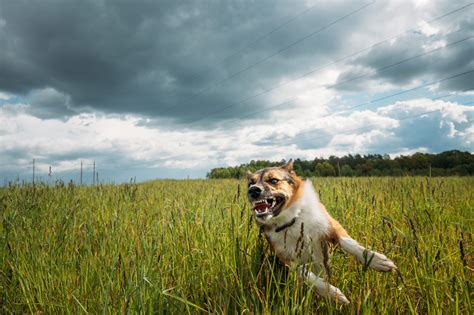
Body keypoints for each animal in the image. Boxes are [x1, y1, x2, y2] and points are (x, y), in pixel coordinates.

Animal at [246, 160, 398, 304]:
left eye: (273, 180)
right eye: (250, 183)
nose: (253, 190)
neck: (291, 220)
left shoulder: (330, 226)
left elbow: (350, 244)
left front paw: (377, 260)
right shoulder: (287, 259)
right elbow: (305, 274)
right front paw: (333, 294)